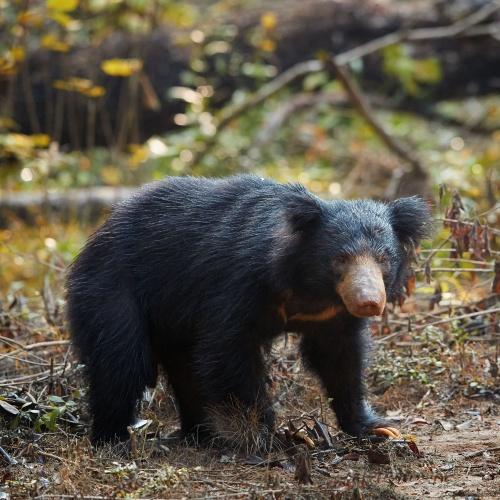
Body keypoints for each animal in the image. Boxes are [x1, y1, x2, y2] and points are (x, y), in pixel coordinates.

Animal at [66, 175, 432, 446]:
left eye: (383, 259)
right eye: (340, 259)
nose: (368, 302)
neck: (310, 291)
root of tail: (95, 237)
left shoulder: (332, 316)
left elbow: (340, 360)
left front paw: (378, 428)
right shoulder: (238, 284)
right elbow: (228, 351)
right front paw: (272, 434)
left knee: (184, 368)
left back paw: (201, 433)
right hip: (112, 292)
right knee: (122, 361)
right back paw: (113, 438)